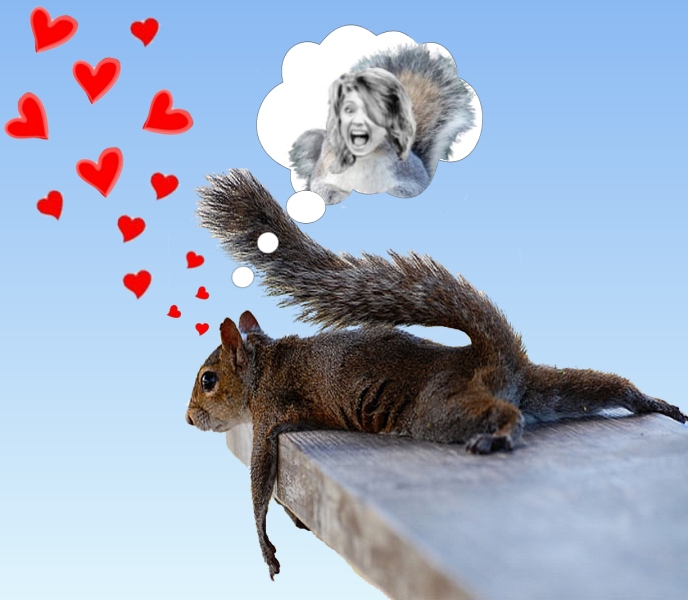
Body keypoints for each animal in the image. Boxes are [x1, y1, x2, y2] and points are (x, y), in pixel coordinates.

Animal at [187, 169, 687, 579]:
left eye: (208, 379)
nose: (190, 419)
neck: (263, 366)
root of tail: (492, 354)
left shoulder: (270, 414)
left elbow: (259, 483)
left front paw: (265, 548)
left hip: (437, 409)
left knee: (502, 413)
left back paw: (500, 435)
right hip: (546, 387)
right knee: (600, 385)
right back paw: (653, 402)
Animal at [289, 44, 476, 204]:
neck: (362, 159)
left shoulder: (410, 174)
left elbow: (412, 189)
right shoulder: (323, 172)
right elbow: (319, 188)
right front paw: (334, 196)